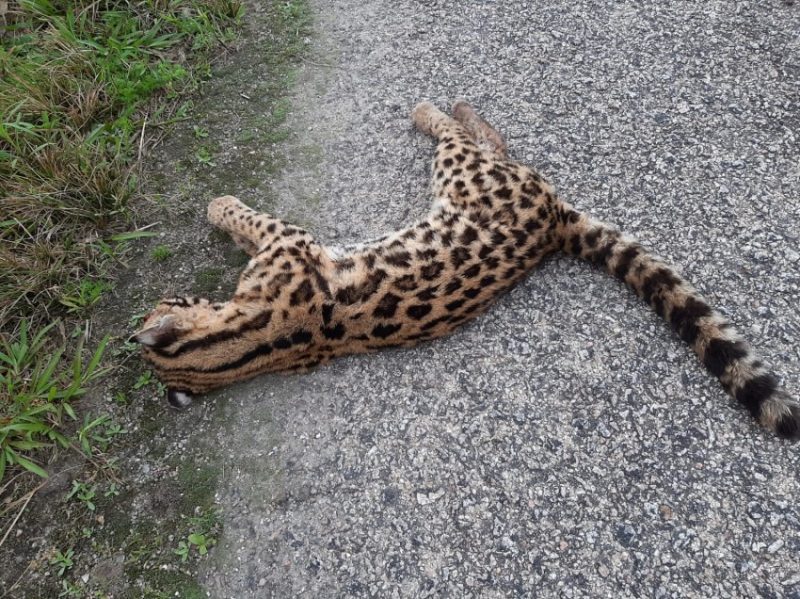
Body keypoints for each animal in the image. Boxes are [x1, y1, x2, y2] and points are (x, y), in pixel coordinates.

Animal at [134, 102, 796, 440]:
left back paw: (435, 106)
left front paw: (219, 207)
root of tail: (554, 221)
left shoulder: (289, 241)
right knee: (489, 141)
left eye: (160, 303)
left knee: (468, 134)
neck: (245, 345)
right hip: (472, 176)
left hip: (458, 171)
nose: (155, 306)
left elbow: (247, 217)